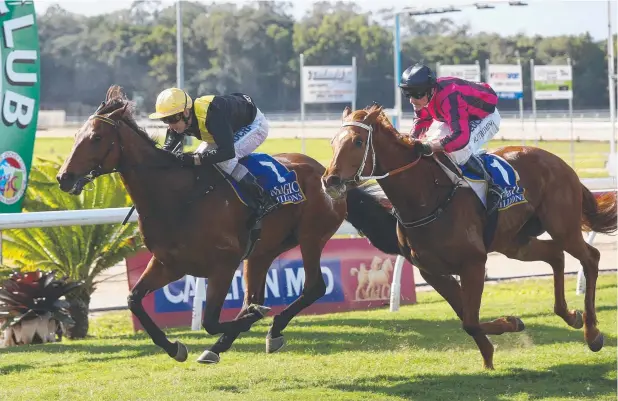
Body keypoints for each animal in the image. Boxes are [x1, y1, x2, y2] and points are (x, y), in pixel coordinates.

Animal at [55, 86, 398, 362]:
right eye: (75, 136)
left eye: (96, 137)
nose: (63, 178)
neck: (176, 197)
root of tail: (326, 173)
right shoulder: (169, 263)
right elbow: (134, 300)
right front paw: (175, 347)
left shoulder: (224, 263)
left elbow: (210, 320)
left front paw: (245, 322)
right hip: (261, 252)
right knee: (257, 295)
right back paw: (230, 340)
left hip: (311, 237)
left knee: (314, 286)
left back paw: (269, 329)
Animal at [322, 104, 616, 368]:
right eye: (332, 142)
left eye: (358, 141)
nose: (330, 181)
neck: (426, 196)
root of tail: (559, 162)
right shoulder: (432, 271)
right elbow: (466, 317)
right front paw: (489, 356)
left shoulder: (473, 262)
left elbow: (470, 320)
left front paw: (510, 324)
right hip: (514, 242)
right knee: (555, 254)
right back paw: (570, 316)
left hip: (562, 225)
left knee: (590, 257)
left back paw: (592, 333)